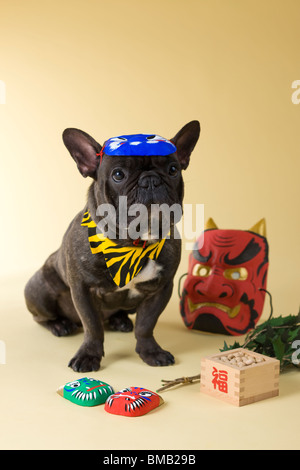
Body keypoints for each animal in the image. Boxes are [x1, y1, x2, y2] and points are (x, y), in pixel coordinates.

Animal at [24, 120, 200, 370]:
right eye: (118, 174)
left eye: (173, 170)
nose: (150, 179)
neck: (134, 242)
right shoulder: (83, 290)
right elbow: (92, 327)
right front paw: (88, 355)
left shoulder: (161, 289)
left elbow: (146, 324)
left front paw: (150, 352)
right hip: (39, 289)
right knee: (42, 317)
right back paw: (60, 324)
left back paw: (120, 320)